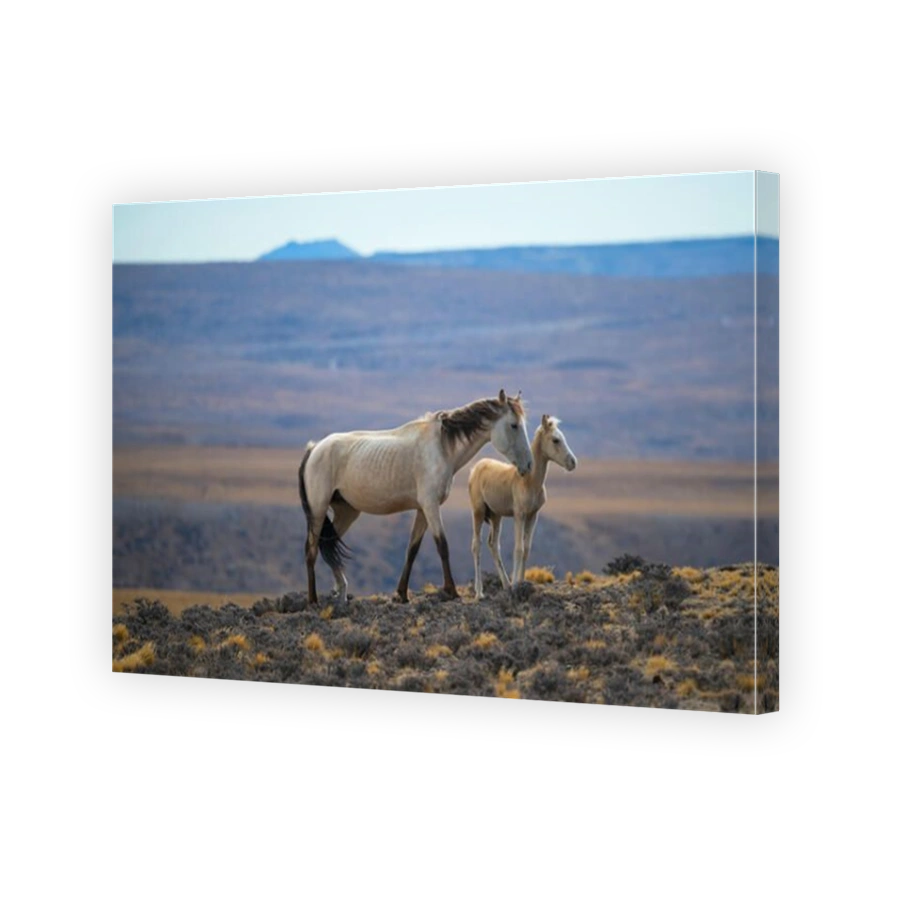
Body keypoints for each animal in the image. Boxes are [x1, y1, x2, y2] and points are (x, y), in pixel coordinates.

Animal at [298, 389, 534, 606]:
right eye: (514, 425)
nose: (529, 465)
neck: (441, 447)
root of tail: (314, 449)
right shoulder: (431, 506)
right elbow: (442, 546)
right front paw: (451, 591)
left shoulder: (423, 509)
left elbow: (412, 549)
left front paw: (402, 594)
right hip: (318, 510)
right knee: (311, 550)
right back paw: (313, 600)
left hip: (347, 511)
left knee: (327, 545)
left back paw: (341, 592)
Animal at [468, 414, 577, 599]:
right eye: (555, 440)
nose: (572, 462)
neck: (529, 481)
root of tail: (475, 468)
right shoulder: (519, 514)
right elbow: (518, 548)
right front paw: (517, 584)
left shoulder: (533, 515)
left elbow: (526, 548)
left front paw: (521, 582)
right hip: (478, 511)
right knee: (477, 545)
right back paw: (480, 592)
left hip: (496, 516)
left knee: (493, 544)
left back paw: (506, 584)